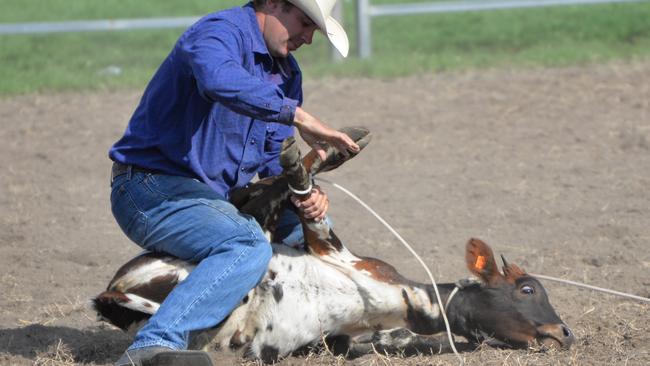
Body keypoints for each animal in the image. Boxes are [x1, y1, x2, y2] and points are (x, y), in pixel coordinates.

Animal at [92, 128, 572, 360]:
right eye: (527, 288)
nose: (563, 332)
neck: (403, 299)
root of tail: (111, 292)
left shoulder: (343, 337)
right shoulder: (334, 251)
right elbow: (307, 205)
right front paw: (319, 156)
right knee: (264, 206)